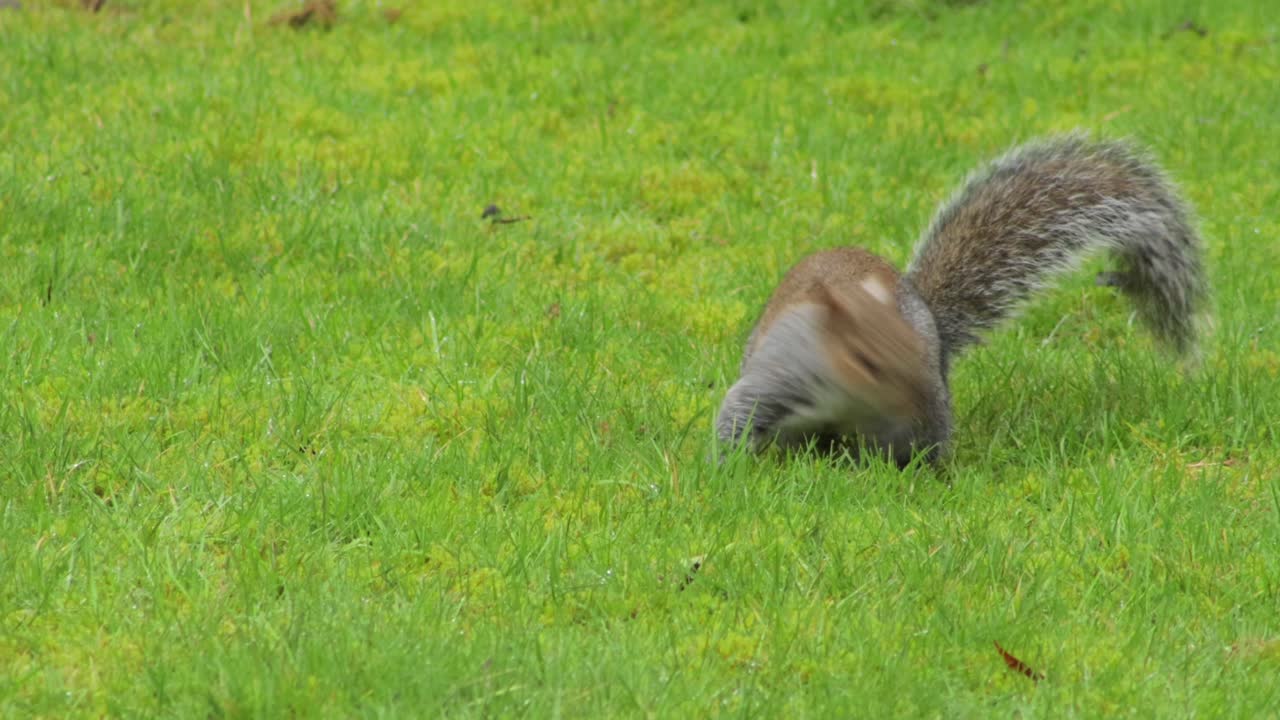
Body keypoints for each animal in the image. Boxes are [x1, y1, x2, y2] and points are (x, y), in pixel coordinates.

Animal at [715, 134, 1208, 466]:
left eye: (917, 351)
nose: (917, 412)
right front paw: (727, 469)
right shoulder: (782, 377)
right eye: (866, 361)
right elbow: (739, 413)